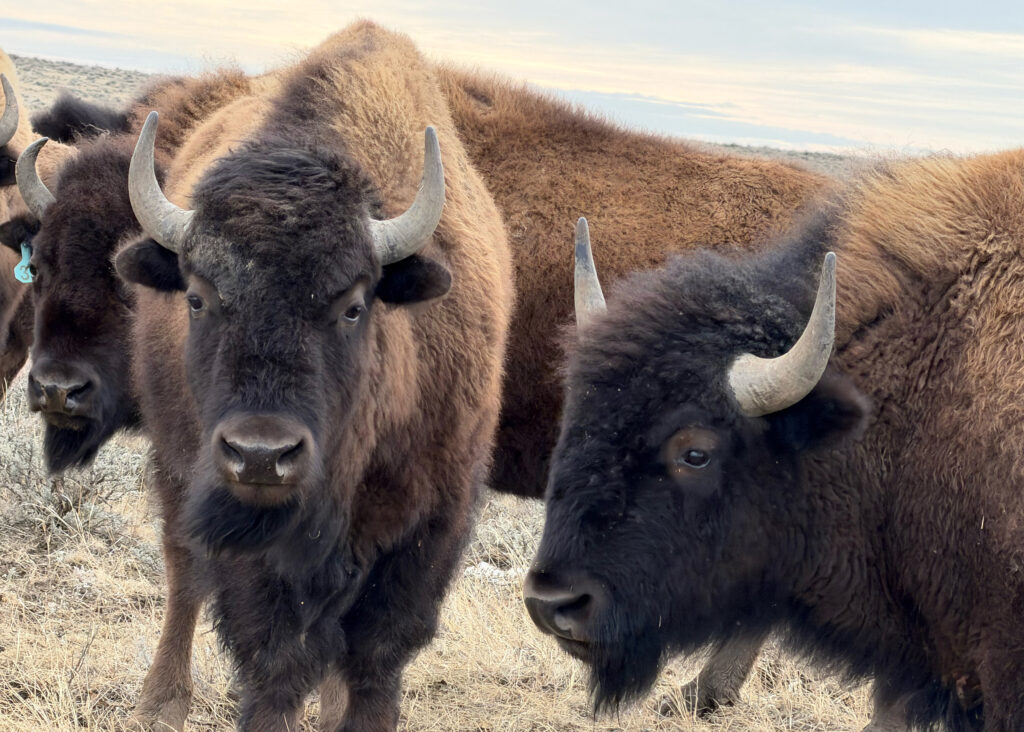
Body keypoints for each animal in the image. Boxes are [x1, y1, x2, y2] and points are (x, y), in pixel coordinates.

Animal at [114, 22, 511, 730]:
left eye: (353, 304)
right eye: (197, 297)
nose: (260, 454)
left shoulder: (427, 533)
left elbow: (374, 664)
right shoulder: (248, 544)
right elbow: (274, 664)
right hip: (174, 467)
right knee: (183, 573)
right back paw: (162, 702)